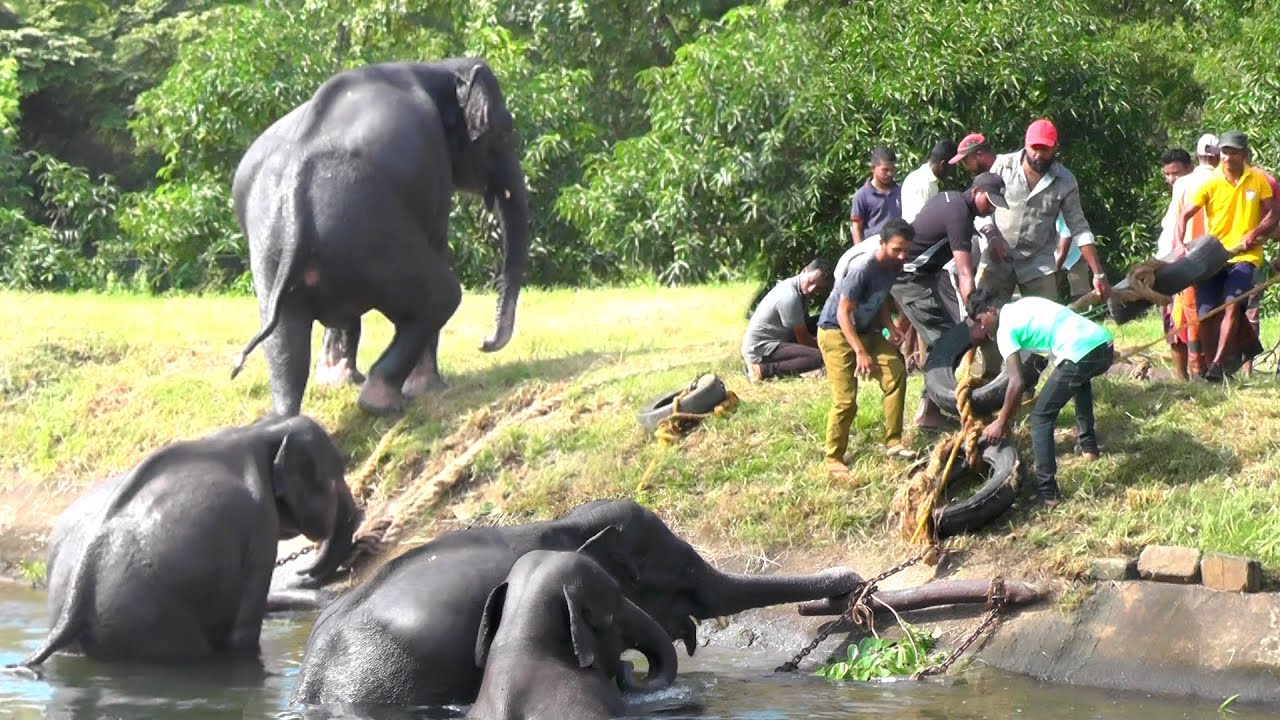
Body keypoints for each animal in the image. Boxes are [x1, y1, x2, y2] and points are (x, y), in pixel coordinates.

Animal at [15, 415, 359, 666]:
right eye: (339, 475)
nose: (305, 573)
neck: (260, 429)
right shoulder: (258, 527)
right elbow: (244, 630)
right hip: (150, 618)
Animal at [229, 57, 529, 417]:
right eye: (506, 130)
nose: (484, 343)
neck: (437, 67)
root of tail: (294, 195)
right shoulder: (435, 164)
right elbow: (437, 238)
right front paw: (430, 389)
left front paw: (337, 383)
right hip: (369, 242)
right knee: (443, 295)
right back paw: (383, 402)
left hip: (274, 254)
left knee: (285, 338)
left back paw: (293, 411)